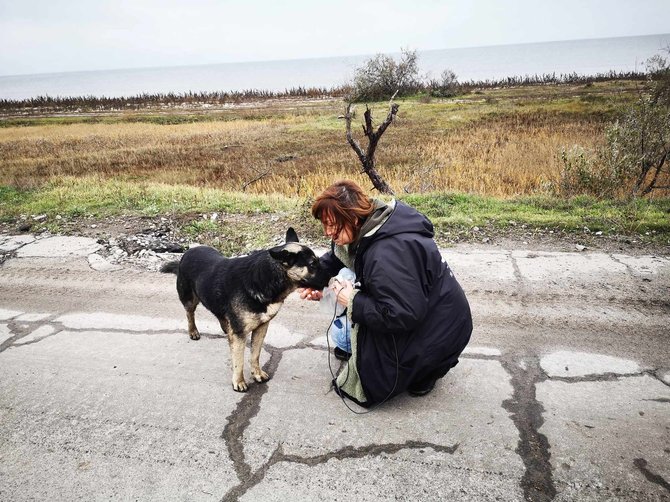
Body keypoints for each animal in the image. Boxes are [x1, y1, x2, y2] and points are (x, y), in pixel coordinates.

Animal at [161, 227, 328, 392]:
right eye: (312, 264)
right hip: (190, 299)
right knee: (190, 313)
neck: (265, 278)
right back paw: (193, 331)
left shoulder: (261, 327)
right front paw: (239, 381)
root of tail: (188, 252)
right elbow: (239, 360)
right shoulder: (240, 334)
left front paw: (257, 373)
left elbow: (255, 354)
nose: (332, 277)